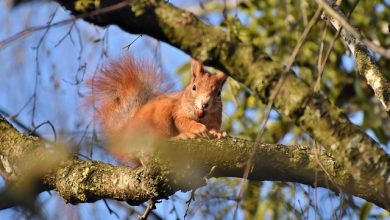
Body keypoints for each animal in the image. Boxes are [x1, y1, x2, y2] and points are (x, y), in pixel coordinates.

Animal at [87, 54, 229, 162]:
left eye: (218, 93)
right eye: (194, 87)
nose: (204, 104)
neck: (201, 117)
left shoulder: (214, 119)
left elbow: (213, 127)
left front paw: (218, 132)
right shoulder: (177, 111)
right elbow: (183, 121)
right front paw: (198, 128)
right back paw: (182, 136)